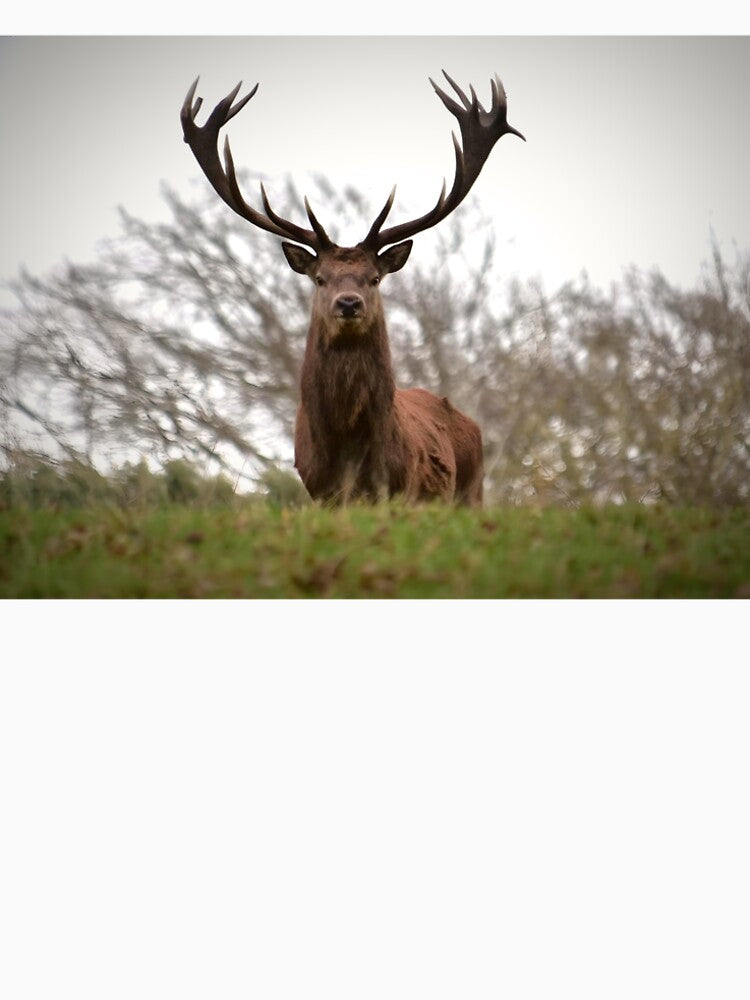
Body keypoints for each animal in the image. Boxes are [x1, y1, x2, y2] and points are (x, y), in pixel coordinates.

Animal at [180, 70, 524, 505]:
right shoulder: (319, 492)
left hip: (472, 491)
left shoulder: (398, 492)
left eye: (374, 277)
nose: (348, 303)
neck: (348, 456)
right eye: (320, 277)